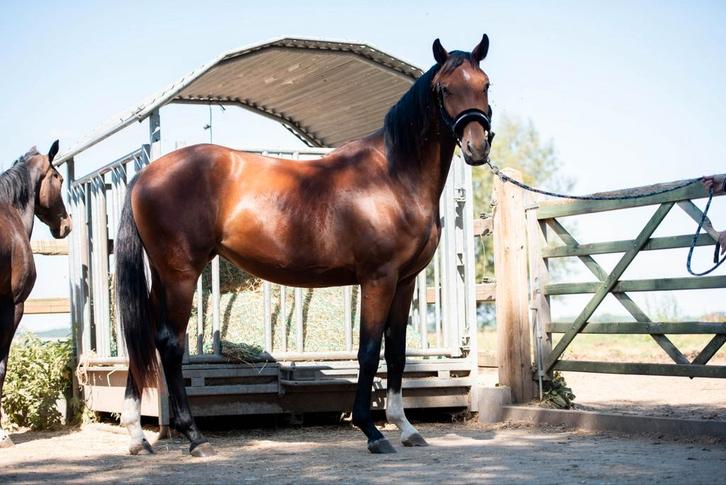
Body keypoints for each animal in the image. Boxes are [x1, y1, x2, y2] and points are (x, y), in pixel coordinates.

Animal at [116, 35, 494, 456]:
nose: (477, 148)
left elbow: (396, 352)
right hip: (181, 274)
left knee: (143, 337)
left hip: (162, 276)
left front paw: (406, 427)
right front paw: (372, 431)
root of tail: (145, 173)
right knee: (169, 343)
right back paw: (195, 437)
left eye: (485, 84)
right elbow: (368, 351)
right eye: (445, 89)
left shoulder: (405, 280)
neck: (393, 176)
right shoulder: (378, 278)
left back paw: (137, 437)